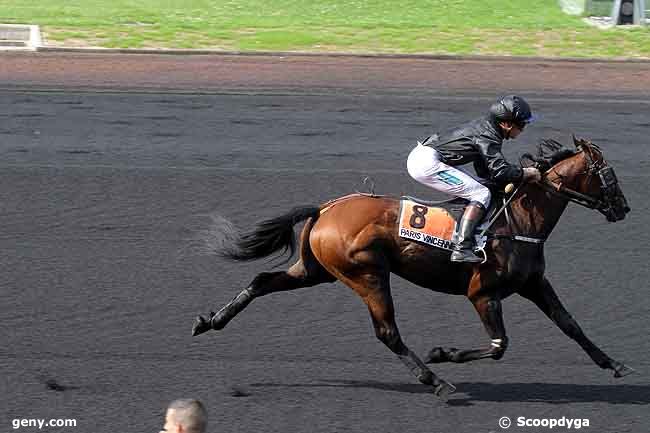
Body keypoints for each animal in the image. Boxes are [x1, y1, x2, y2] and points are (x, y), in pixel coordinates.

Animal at [191, 137, 628, 396]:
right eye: (608, 174)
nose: (624, 208)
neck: (518, 222)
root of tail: (326, 208)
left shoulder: (534, 283)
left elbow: (570, 323)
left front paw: (613, 363)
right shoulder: (482, 294)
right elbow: (499, 346)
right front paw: (442, 353)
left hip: (317, 271)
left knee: (262, 279)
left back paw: (210, 320)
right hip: (367, 274)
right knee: (387, 332)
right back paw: (435, 380)